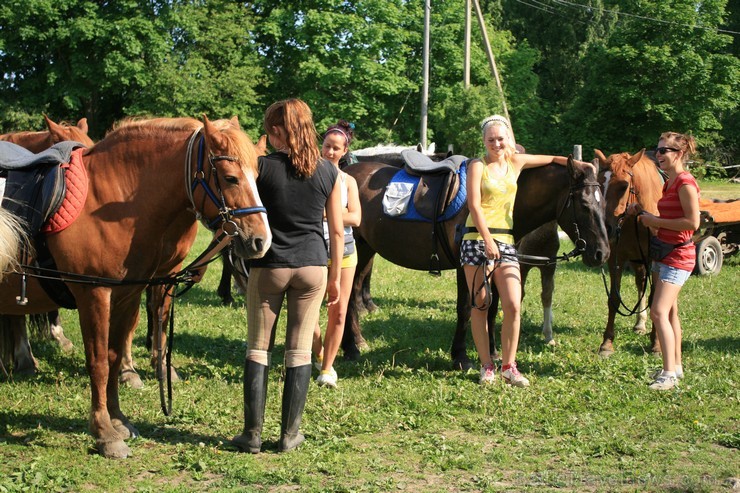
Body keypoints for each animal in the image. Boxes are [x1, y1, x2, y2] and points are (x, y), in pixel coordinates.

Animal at [0, 116, 272, 458]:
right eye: (230, 178)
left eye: (258, 177)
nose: (261, 240)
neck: (106, 204)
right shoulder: (94, 295)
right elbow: (99, 363)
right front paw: (104, 433)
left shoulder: (126, 296)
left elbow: (115, 356)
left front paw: (118, 420)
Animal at [344, 156, 608, 368]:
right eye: (584, 205)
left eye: (603, 203)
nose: (602, 253)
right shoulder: (466, 268)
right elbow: (465, 309)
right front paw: (460, 357)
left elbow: (491, 309)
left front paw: (493, 352)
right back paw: (351, 349)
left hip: (365, 252)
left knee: (352, 294)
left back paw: (356, 343)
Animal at [596, 148, 664, 356]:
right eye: (598, 184)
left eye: (624, 185)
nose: (606, 228)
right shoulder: (616, 258)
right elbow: (614, 298)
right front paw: (607, 343)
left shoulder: (656, 260)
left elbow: (655, 298)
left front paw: (656, 343)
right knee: (640, 283)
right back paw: (640, 323)